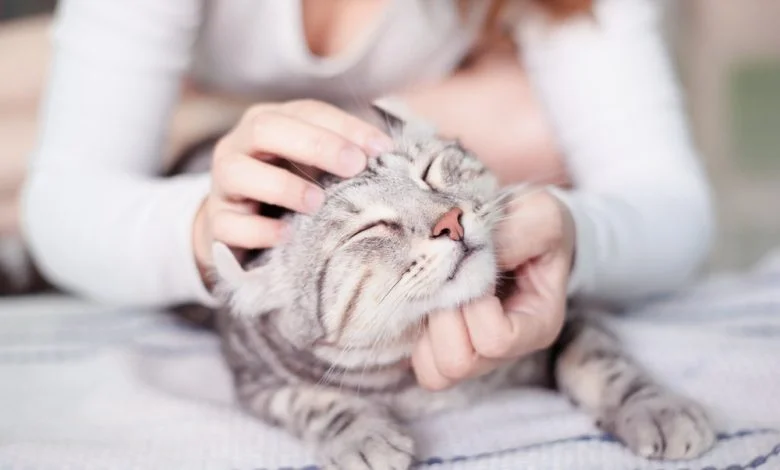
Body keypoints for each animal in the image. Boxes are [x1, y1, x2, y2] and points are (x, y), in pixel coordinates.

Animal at [206, 104, 712, 468]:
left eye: (430, 171)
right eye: (369, 229)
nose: (449, 221)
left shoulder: (572, 317)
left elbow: (603, 362)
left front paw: (657, 409)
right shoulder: (256, 382)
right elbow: (310, 402)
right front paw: (364, 435)